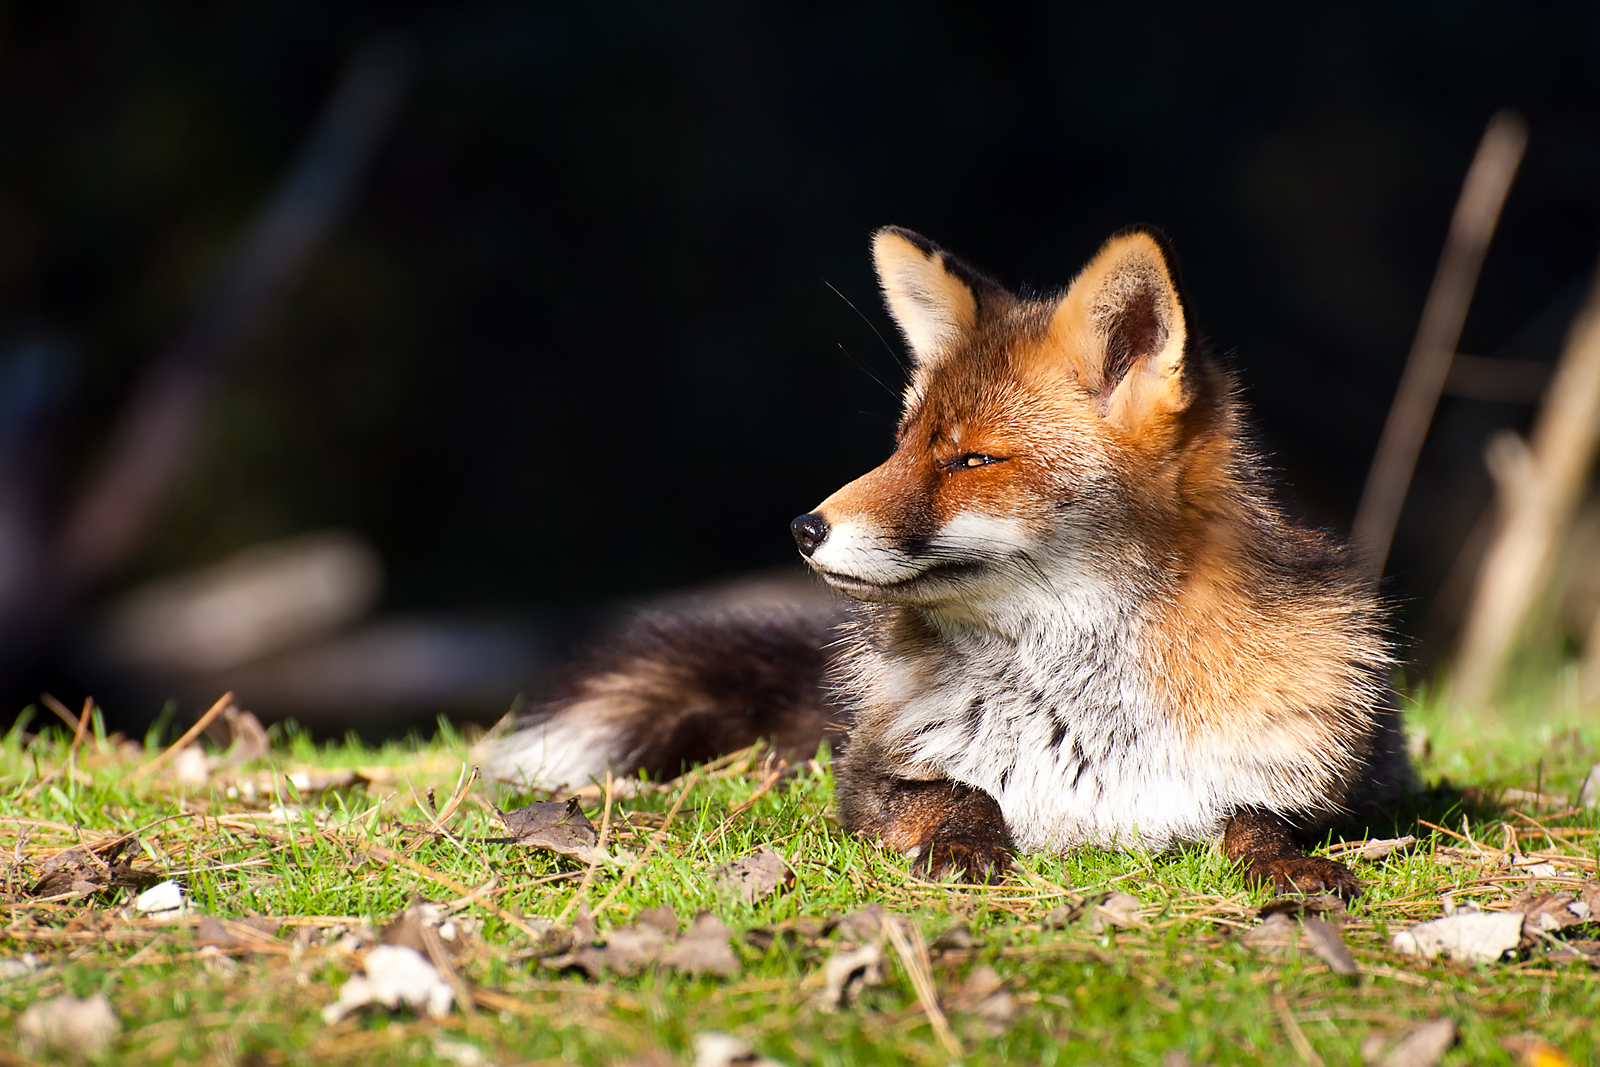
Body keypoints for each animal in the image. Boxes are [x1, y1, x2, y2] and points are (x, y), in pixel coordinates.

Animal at [481, 225, 1413, 895]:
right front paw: (967, 846)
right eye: (901, 444)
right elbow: (957, 791)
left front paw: (1284, 863)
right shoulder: (870, 776)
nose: (803, 528)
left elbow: (1261, 816)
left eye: (971, 460)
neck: (1088, 719)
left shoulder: (1346, 774)